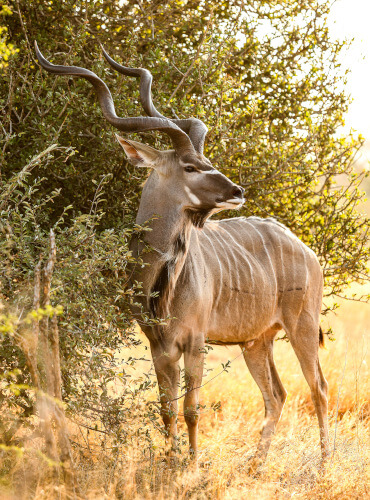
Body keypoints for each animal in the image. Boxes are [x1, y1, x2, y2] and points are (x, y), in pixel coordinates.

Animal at [35, 42, 330, 468]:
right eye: (191, 166)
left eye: (207, 163)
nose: (237, 190)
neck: (161, 281)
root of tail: (306, 250)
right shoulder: (159, 346)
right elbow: (167, 409)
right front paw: (172, 464)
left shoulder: (194, 342)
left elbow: (192, 409)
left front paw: (191, 465)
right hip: (257, 341)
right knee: (276, 394)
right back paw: (255, 465)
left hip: (302, 326)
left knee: (318, 388)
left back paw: (322, 465)